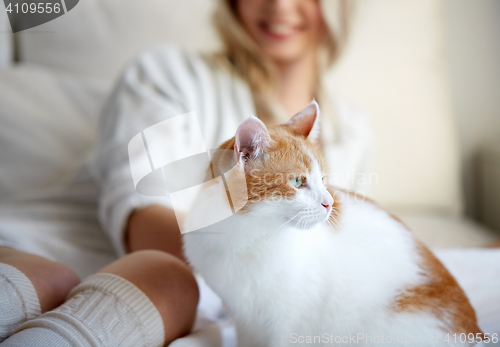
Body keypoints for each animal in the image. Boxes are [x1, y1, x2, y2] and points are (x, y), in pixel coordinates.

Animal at [182, 101, 482, 347]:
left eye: (324, 179)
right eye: (298, 181)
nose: (329, 203)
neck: (245, 236)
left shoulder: (289, 324)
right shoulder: (245, 321)